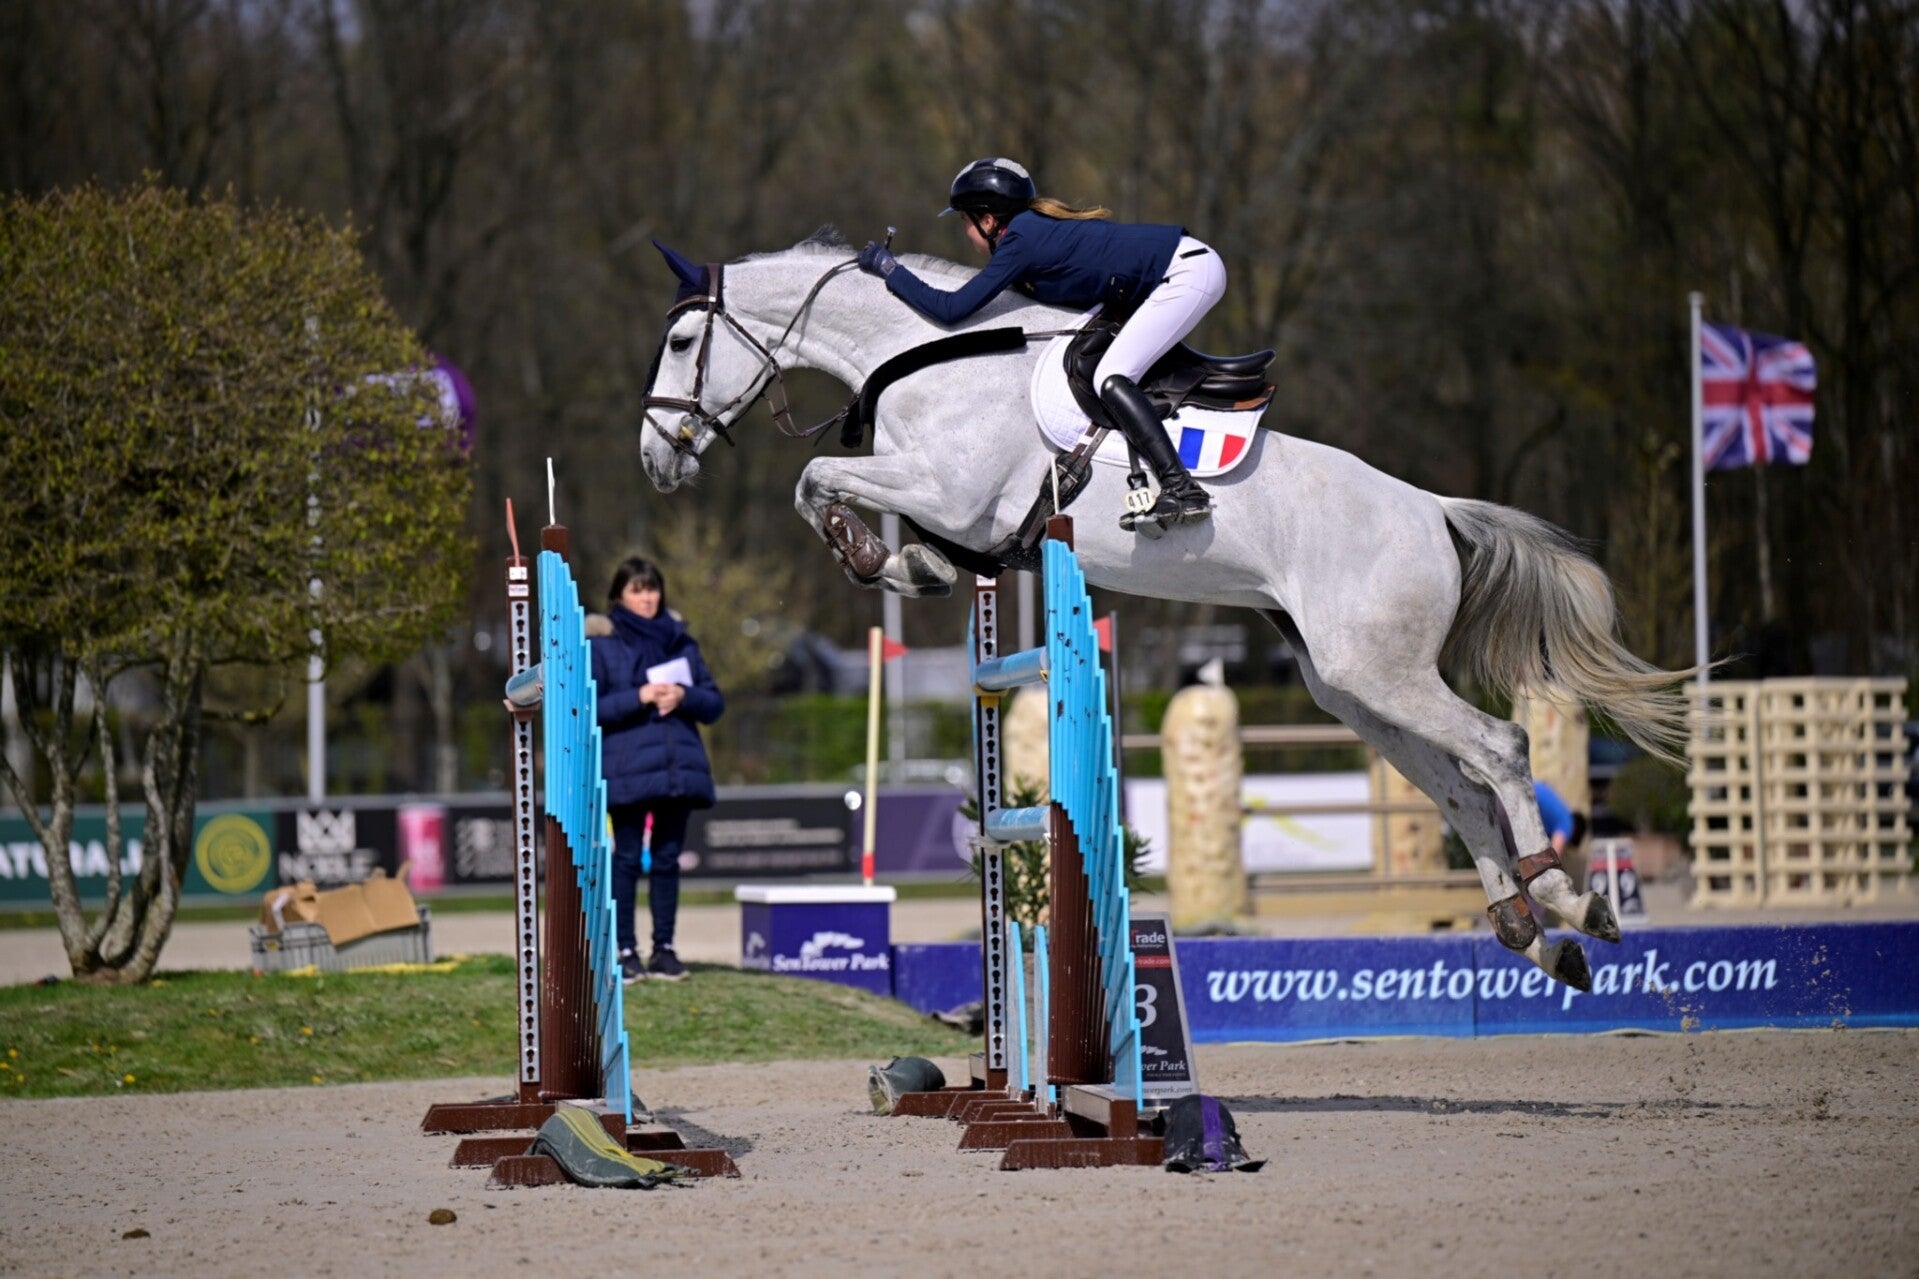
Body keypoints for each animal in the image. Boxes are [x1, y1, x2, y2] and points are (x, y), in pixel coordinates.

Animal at [637, 228, 1693, 991]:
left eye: (683, 342)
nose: (656, 458)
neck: (927, 358)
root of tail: (1431, 509)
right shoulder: (954, 509)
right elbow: (871, 514)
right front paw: (904, 568)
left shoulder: (951, 490)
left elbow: (816, 475)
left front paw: (864, 552)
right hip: (1350, 684)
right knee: (1459, 785)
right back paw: (1533, 933)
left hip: (1380, 668)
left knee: (1500, 749)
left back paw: (1572, 902)